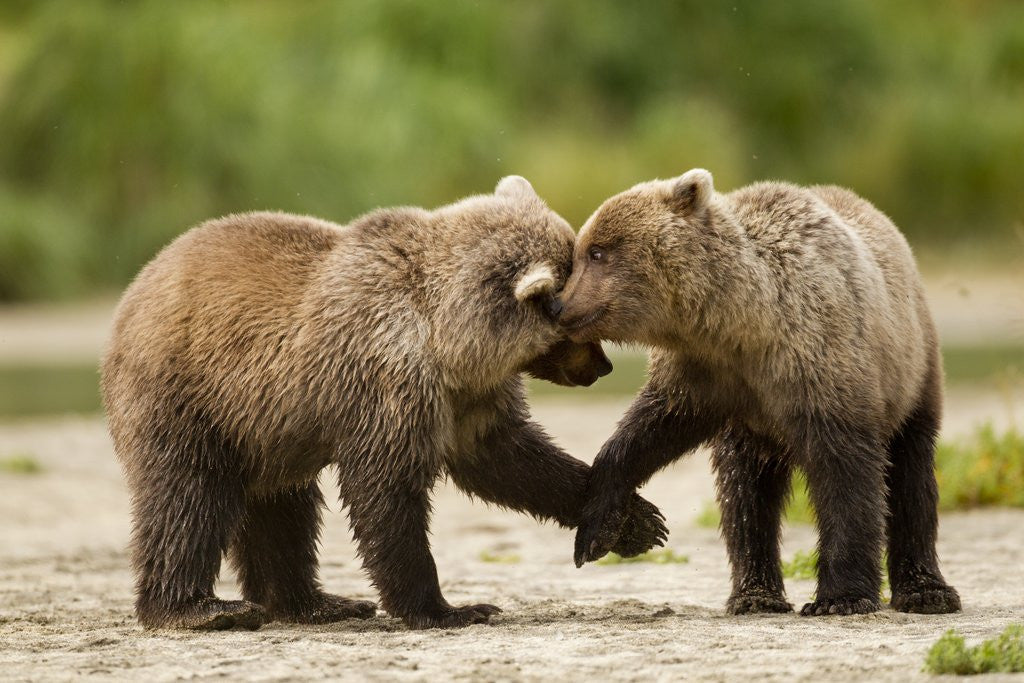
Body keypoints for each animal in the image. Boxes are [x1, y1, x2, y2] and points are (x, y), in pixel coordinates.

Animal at [100, 176, 668, 631]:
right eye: (577, 322)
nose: (603, 366)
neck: (448, 340)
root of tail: (132, 293)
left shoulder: (467, 397)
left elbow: (510, 460)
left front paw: (635, 521)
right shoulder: (386, 378)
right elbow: (385, 489)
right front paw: (451, 608)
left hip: (267, 426)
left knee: (282, 510)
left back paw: (318, 603)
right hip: (190, 396)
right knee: (188, 496)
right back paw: (200, 609)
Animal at [560, 169, 961, 617]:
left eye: (596, 252)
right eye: (581, 251)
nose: (559, 306)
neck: (745, 324)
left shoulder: (821, 363)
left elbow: (847, 477)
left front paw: (841, 596)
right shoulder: (707, 375)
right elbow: (651, 428)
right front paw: (599, 526)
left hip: (913, 372)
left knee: (913, 475)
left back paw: (927, 591)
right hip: (753, 433)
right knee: (746, 496)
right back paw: (754, 595)